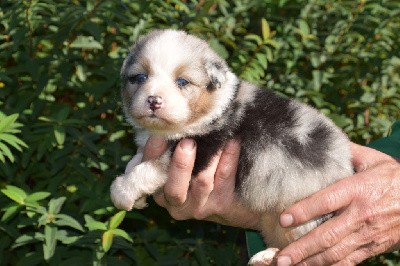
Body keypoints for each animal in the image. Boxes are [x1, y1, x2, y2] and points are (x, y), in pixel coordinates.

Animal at [110, 29, 354, 264]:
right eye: (139, 77)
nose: (154, 101)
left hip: (301, 217)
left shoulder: (201, 147)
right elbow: (137, 160)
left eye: (182, 82)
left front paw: (122, 191)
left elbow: (149, 168)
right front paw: (136, 194)